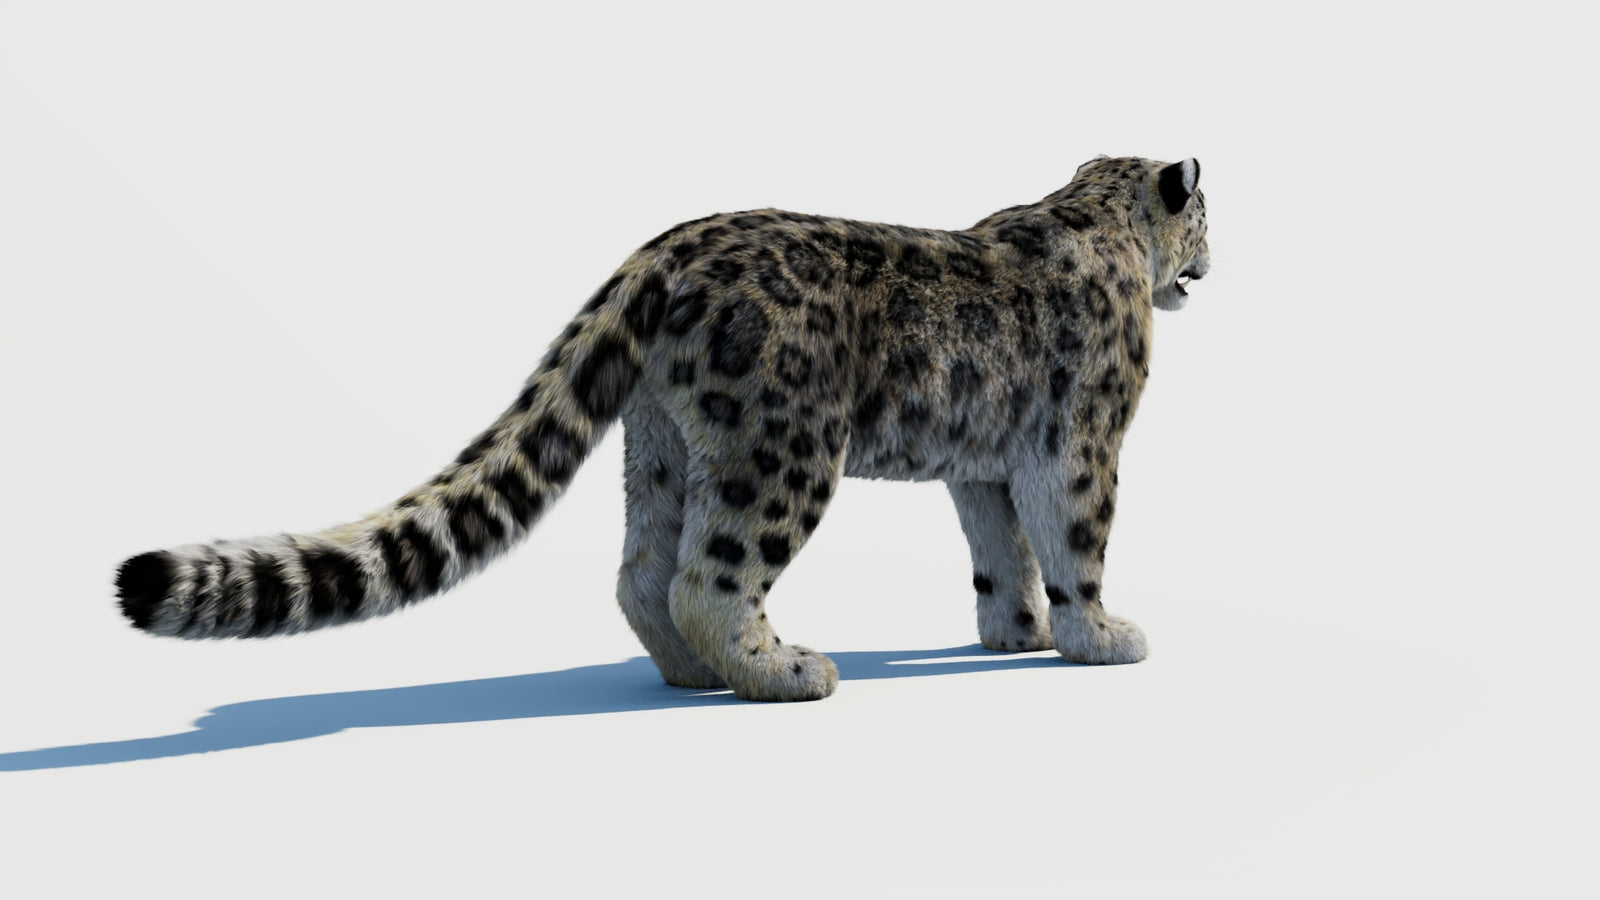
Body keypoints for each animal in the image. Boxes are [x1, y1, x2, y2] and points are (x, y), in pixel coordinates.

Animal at [114, 155, 1210, 702]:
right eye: (1206, 216)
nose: (1213, 261)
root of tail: (662, 250)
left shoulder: (980, 465)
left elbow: (1000, 550)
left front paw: (1015, 633)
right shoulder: (1083, 442)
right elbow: (1073, 541)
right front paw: (1101, 636)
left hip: (670, 446)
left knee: (643, 570)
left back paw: (689, 675)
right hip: (781, 450)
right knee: (710, 575)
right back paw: (783, 671)